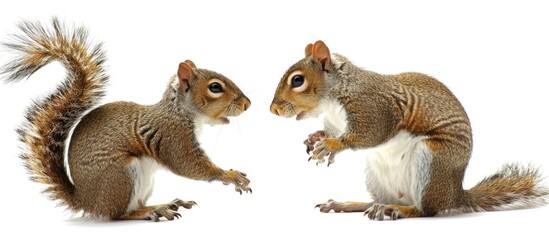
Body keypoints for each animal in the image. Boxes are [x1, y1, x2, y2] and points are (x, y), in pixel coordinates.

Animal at [0, 18, 250, 221]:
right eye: (215, 87)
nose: (247, 104)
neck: (179, 111)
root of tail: (86, 200)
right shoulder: (173, 136)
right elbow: (189, 165)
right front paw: (229, 175)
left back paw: (166, 203)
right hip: (121, 175)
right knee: (118, 214)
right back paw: (153, 211)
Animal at [270, 40, 548, 220]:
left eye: (298, 80)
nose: (273, 110)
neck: (335, 95)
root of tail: (454, 195)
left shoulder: (375, 109)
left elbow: (369, 134)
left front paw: (331, 145)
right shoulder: (335, 122)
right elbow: (330, 131)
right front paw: (316, 137)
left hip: (432, 160)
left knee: (426, 210)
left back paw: (398, 210)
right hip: (376, 174)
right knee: (378, 200)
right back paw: (349, 204)